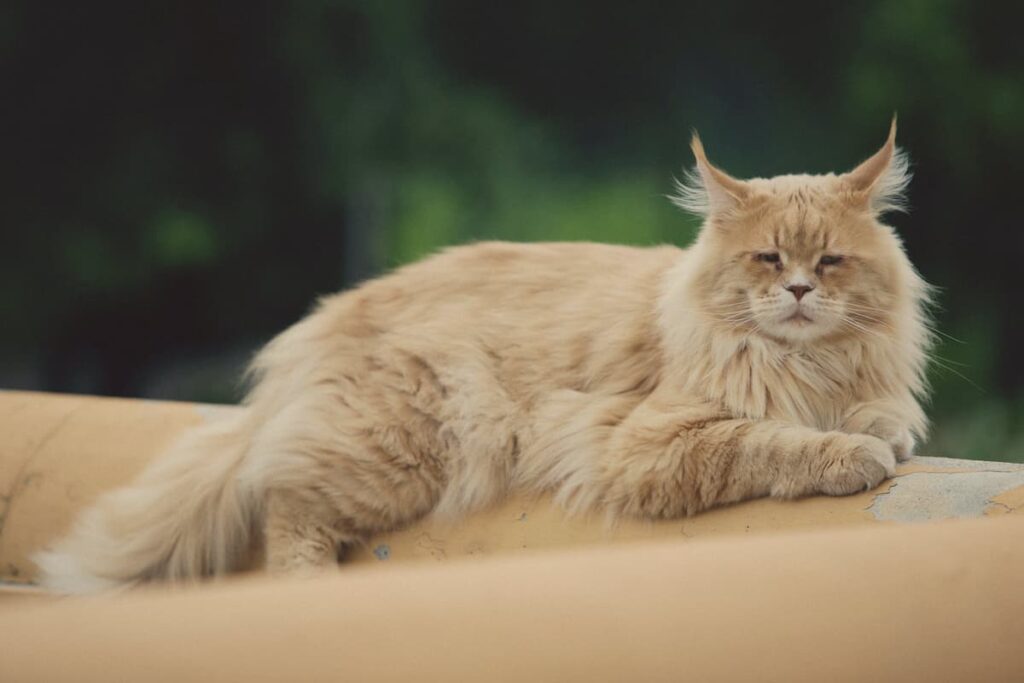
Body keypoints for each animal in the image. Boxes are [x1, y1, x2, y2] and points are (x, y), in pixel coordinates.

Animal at [36, 121, 933, 593]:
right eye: (767, 260)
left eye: (831, 263)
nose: (799, 293)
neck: (807, 365)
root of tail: (323, 325)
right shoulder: (646, 442)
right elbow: (770, 440)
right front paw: (852, 452)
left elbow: (876, 411)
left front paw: (875, 427)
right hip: (405, 444)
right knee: (286, 503)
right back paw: (312, 588)